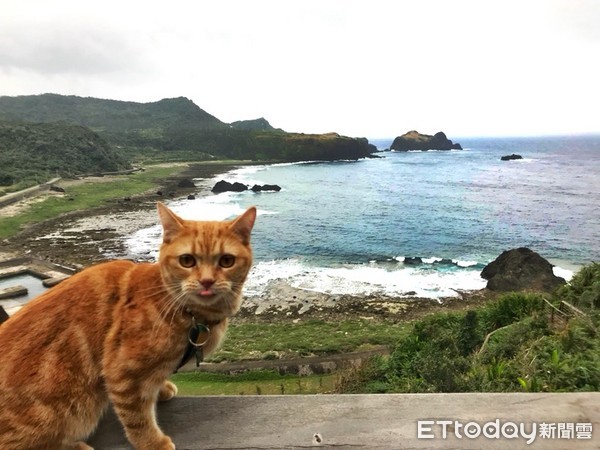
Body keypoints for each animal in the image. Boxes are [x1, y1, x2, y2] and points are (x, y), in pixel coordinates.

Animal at [0, 202, 255, 448]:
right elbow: (137, 417)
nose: (207, 281)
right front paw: (153, 442)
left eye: (227, 261)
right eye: (187, 260)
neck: (187, 311)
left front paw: (162, 388)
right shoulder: (122, 373)